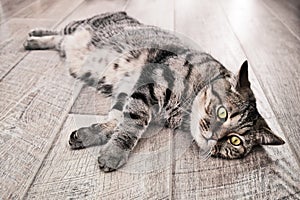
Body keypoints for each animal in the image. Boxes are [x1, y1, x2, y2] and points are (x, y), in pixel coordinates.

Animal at [22, 10, 284, 172]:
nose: (213, 137)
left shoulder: (128, 92)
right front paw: (114, 153)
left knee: (59, 41)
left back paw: (35, 41)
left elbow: (116, 120)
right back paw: (33, 36)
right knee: (59, 31)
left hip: (70, 43)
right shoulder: (149, 87)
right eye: (222, 113)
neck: (183, 110)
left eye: (235, 141)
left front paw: (90, 135)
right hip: (79, 26)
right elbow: (130, 125)